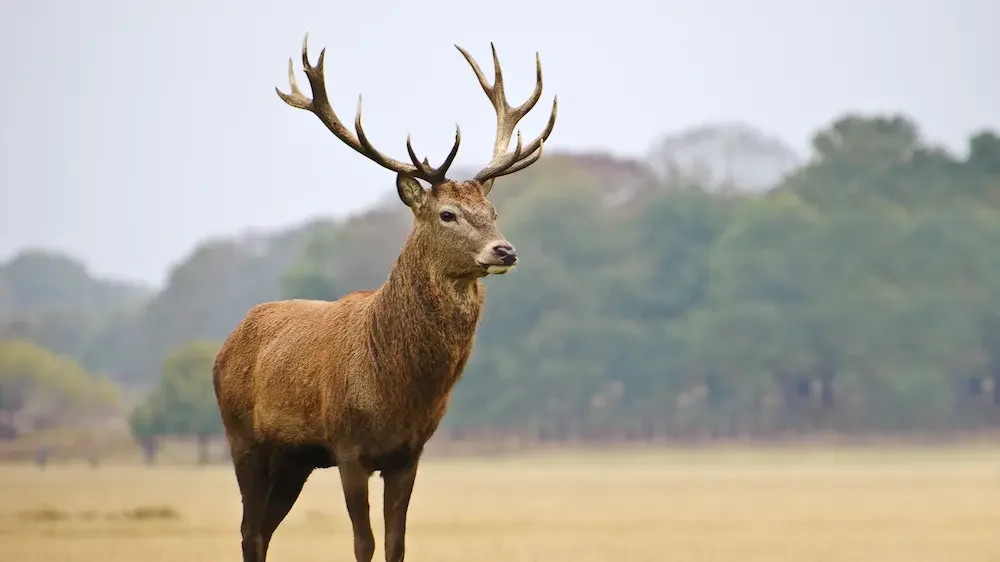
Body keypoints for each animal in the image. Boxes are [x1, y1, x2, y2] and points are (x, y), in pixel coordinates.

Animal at [213, 35, 556, 560]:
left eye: (493, 210)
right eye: (448, 213)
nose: (505, 250)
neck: (393, 386)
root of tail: (227, 343)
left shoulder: (408, 452)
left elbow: (396, 542)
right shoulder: (348, 446)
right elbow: (364, 542)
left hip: (294, 460)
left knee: (264, 529)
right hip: (243, 437)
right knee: (250, 531)